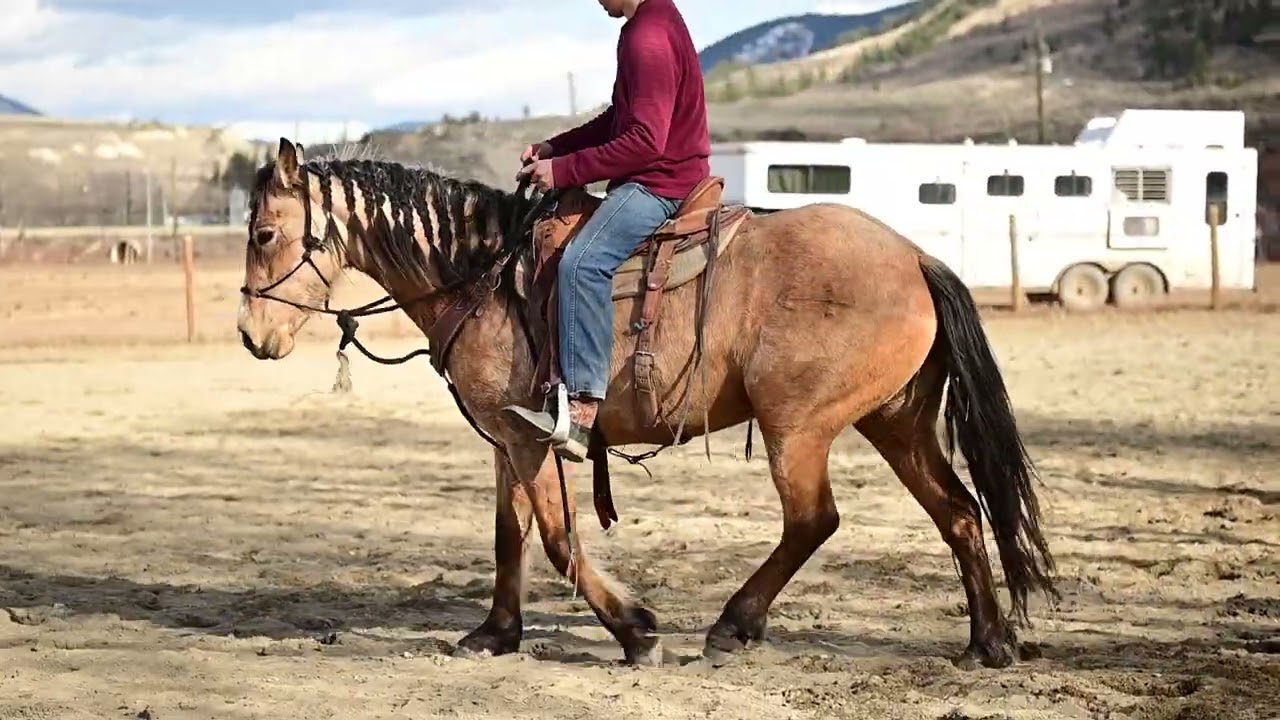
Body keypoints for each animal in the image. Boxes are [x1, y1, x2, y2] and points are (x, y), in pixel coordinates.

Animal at [236, 138, 1057, 669]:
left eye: (266, 232)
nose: (250, 335)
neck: (485, 274)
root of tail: (913, 257)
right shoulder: (507, 438)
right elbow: (509, 535)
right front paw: (495, 634)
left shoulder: (532, 439)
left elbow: (558, 538)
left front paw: (635, 630)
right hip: (895, 421)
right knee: (959, 513)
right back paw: (986, 643)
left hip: (798, 428)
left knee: (813, 520)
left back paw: (733, 625)